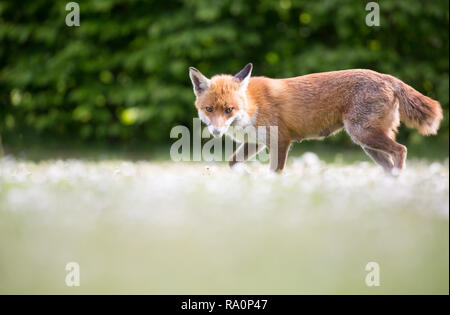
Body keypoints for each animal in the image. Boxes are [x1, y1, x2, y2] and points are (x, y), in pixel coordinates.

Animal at [187, 64, 442, 175]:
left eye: (229, 109)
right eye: (209, 109)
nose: (216, 132)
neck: (252, 105)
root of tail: (386, 76)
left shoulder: (281, 140)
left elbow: (275, 172)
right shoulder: (255, 143)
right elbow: (232, 163)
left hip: (364, 134)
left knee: (401, 150)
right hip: (367, 144)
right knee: (390, 162)